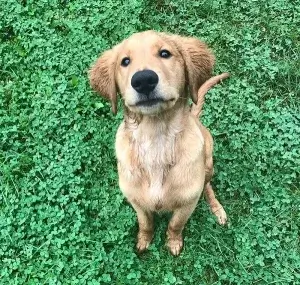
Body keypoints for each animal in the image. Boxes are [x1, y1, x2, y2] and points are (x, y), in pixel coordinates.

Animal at [89, 30, 227, 254]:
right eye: (125, 61)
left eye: (165, 53)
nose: (144, 80)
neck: (156, 139)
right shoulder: (136, 200)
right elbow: (145, 223)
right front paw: (144, 240)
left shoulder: (187, 204)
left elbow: (175, 224)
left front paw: (173, 242)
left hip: (208, 162)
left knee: (207, 186)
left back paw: (217, 209)